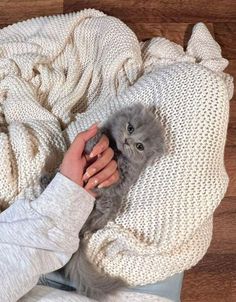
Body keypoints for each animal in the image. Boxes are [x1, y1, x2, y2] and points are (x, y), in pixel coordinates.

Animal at [63, 103, 165, 300]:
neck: (116, 151)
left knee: (101, 218)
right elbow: (98, 138)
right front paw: (96, 140)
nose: (127, 140)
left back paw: (91, 225)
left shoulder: (124, 178)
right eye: (130, 128)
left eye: (140, 146)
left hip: (112, 205)